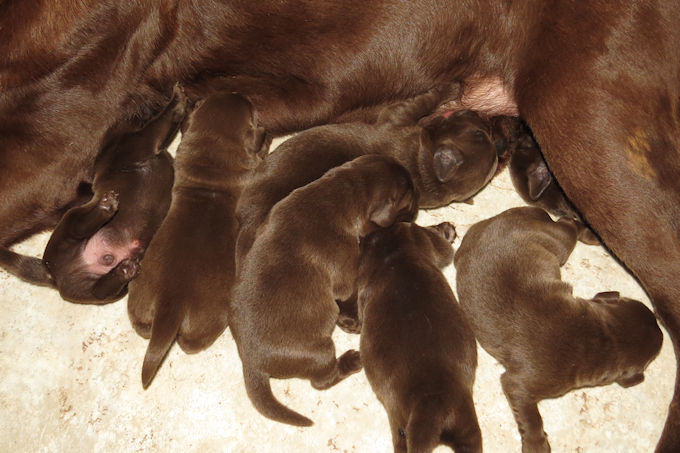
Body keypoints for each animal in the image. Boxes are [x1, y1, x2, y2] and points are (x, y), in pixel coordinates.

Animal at [0, 88, 185, 303]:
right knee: (77, 228)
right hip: (68, 224)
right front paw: (178, 99)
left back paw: (124, 271)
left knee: (101, 289)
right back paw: (105, 208)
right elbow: (164, 120)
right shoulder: (145, 139)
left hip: (89, 287)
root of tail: (52, 275)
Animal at [229, 153, 418, 426]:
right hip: (319, 352)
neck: (341, 191)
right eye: (409, 200)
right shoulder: (345, 273)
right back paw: (351, 360)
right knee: (322, 380)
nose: (418, 209)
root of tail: (251, 363)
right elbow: (347, 293)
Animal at [454, 206, 664, 452]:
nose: (658, 321)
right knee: (567, 224)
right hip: (559, 242)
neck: (602, 339)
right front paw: (536, 444)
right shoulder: (518, 385)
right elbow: (531, 418)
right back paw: (590, 233)